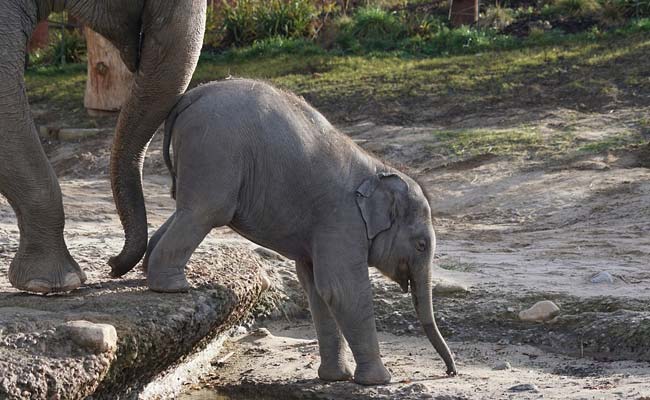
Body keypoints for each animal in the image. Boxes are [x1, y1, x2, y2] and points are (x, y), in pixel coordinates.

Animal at [144, 79, 457, 385]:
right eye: (421, 245)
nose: (450, 371)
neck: (379, 169)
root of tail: (192, 95)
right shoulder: (341, 220)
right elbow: (341, 289)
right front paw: (380, 381)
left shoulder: (321, 231)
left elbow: (316, 289)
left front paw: (336, 378)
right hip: (215, 151)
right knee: (205, 212)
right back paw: (172, 287)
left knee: (186, 210)